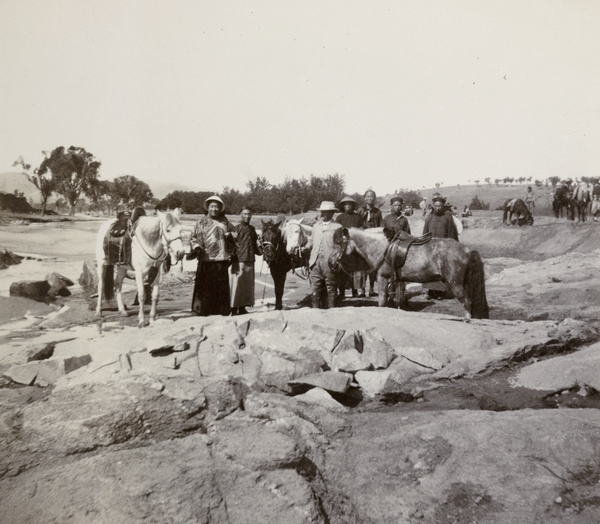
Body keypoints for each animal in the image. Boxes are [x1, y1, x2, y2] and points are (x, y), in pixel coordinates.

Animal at [330, 228, 490, 320]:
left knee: (467, 302)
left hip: (455, 284)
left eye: (339, 243)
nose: (331, 262)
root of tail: (467, 251)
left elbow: (382, 302)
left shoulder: (383, 278)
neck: (382, 248)